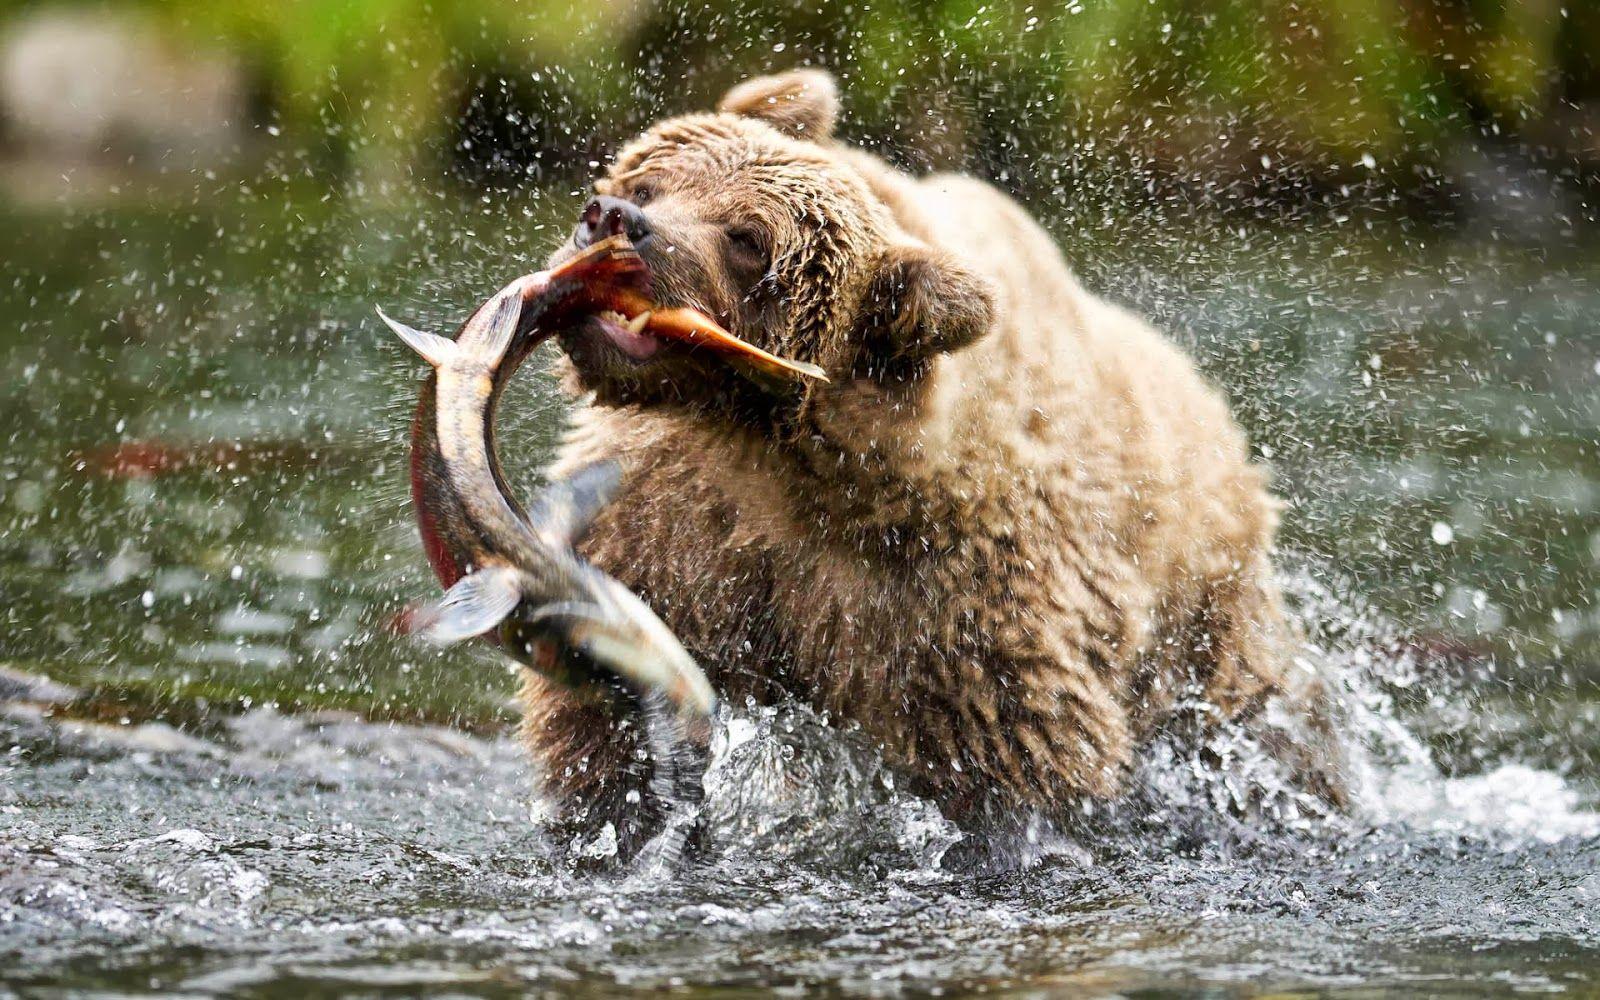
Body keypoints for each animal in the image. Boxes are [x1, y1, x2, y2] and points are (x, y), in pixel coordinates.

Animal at [522, 69, 1327, 851]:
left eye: (748, 239)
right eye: (650, 182)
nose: (614, 218)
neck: (777, 454)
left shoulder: (960, 604)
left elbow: (1020, 763)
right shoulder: (666, 527)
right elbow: (601, 718)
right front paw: (616, 814)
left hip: (1208, 618)